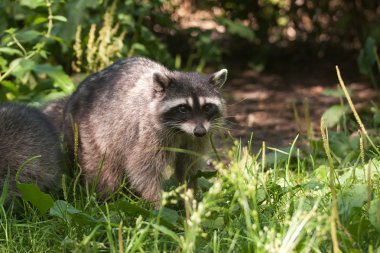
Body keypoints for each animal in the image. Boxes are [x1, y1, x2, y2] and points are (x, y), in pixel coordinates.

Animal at [63, 57, 227, 204]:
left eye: (207, 107)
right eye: (182, 108)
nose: (199, 131)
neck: (182, 131)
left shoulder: (198, 138)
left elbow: (188, 167)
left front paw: (189, 197)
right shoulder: (148, 133)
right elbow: (143, 169)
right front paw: (156, 202)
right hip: (90, 131)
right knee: (102, 169)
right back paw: (105, 197)